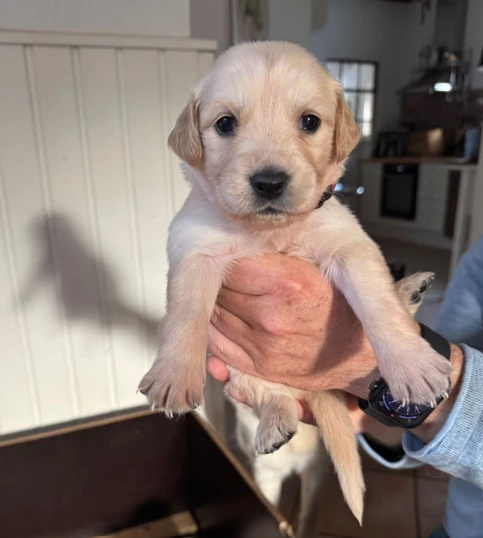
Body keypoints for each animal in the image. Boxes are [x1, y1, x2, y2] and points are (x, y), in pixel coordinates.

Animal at [139, 41, 451, 524]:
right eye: (224, 123)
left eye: (309, 122)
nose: (269, 183)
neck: (270, 232)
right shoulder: (194, 250)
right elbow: (185, 317)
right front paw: (173, 375)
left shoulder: (348, 245)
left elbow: (378, 304)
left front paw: (411, 366)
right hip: (238, 371)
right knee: (269, 395)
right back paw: (276, 425)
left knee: (393, 298)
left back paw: (411, 289)